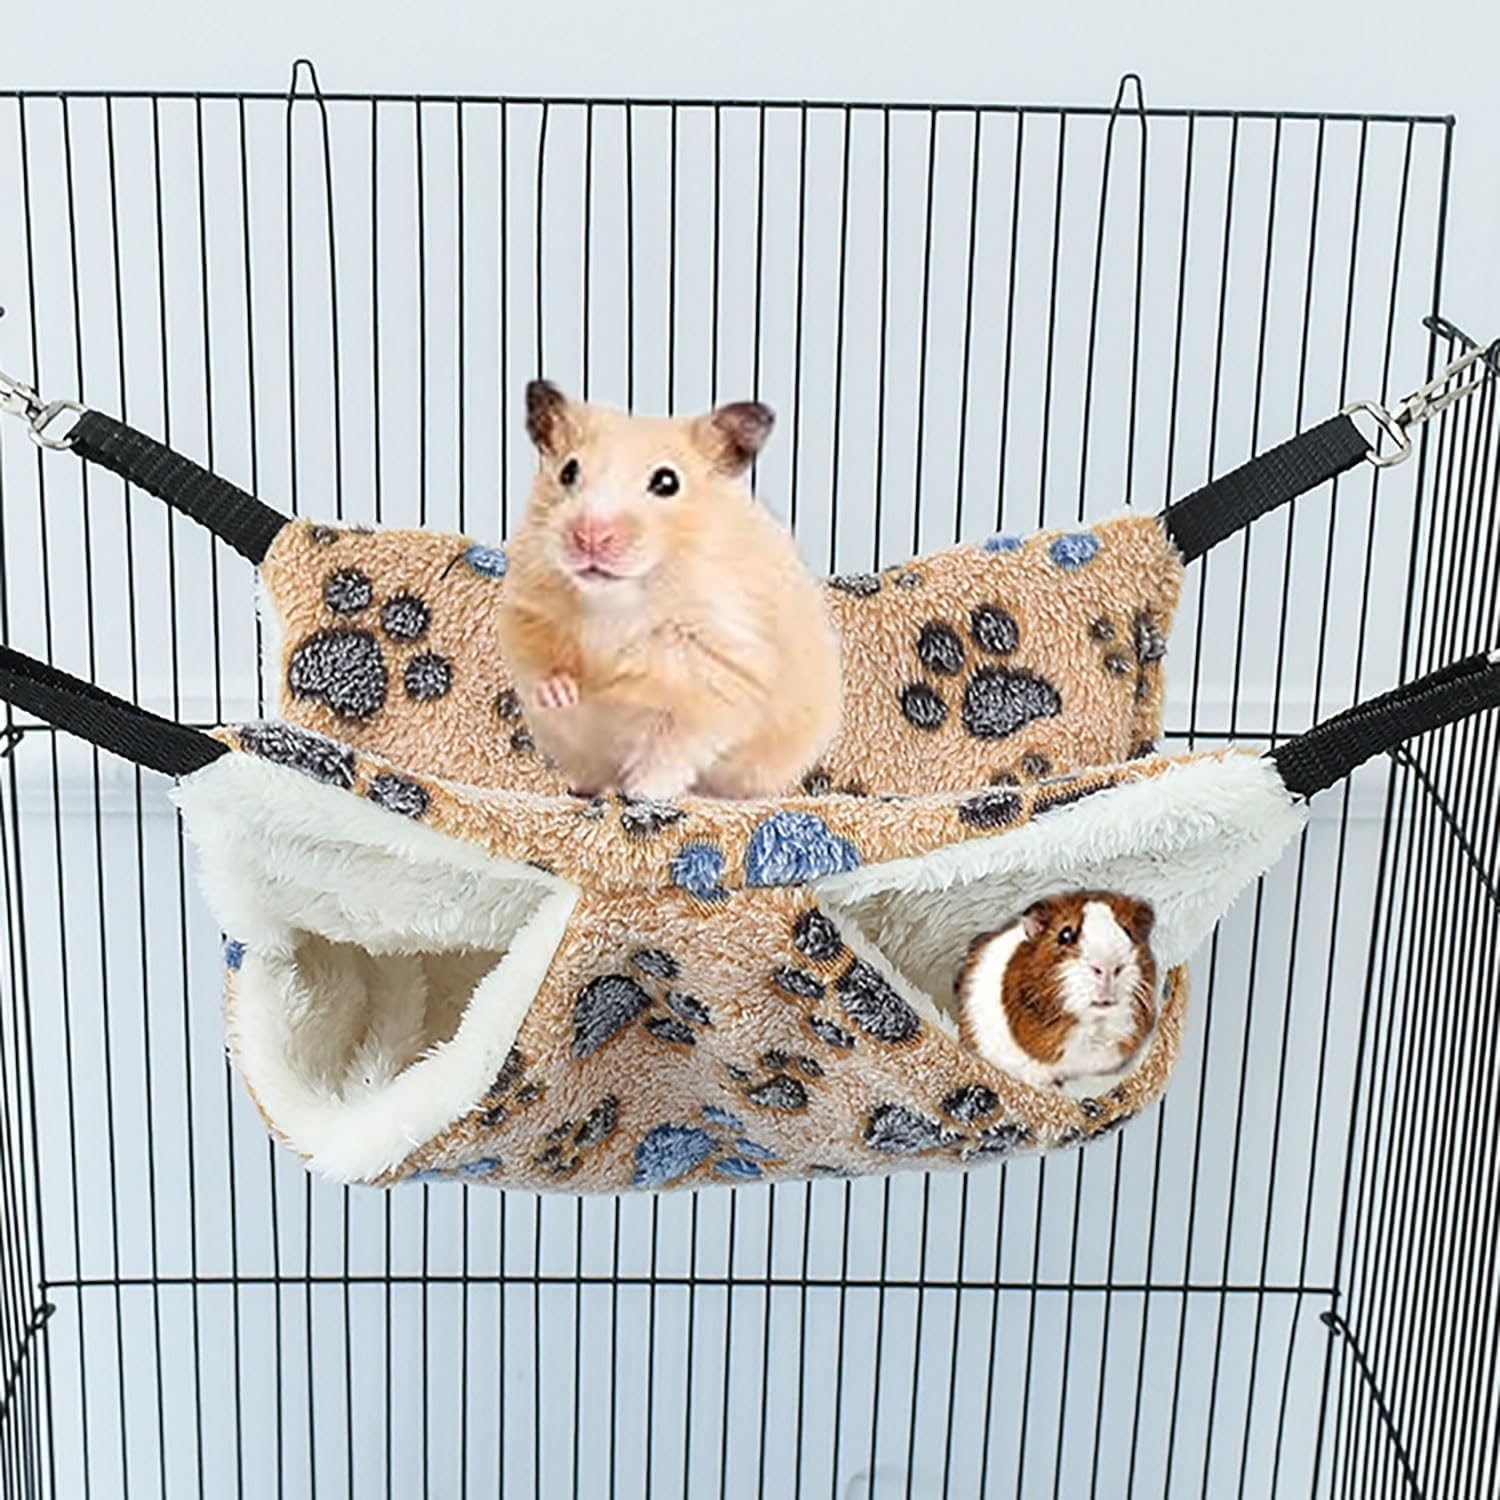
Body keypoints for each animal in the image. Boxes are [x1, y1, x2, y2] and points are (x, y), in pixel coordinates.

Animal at [497, 380, 843, 801]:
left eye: (667, 482)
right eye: (568, 471)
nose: (589, 537)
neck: (615, 600)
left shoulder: (715, 680)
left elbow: (668, 748)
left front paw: (641, 794)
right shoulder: (525, 613)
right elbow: (540, 667)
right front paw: (566, 693)